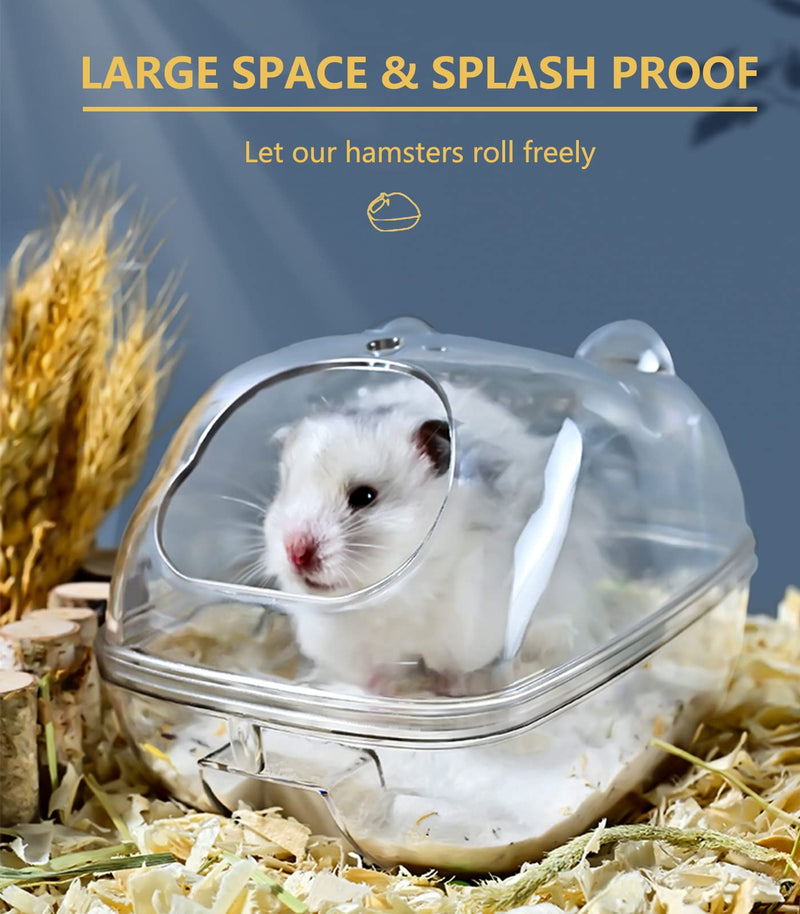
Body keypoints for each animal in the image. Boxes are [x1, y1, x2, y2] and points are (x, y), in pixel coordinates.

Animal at [262, 379, 606, 691]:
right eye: (285, 491)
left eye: (364, 496)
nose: (295, 553)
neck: (394, 596)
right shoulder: (352, 650)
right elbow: (373, 680)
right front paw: (383, 702)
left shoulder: (464, 631)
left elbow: (452, 670)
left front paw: (450, 693)